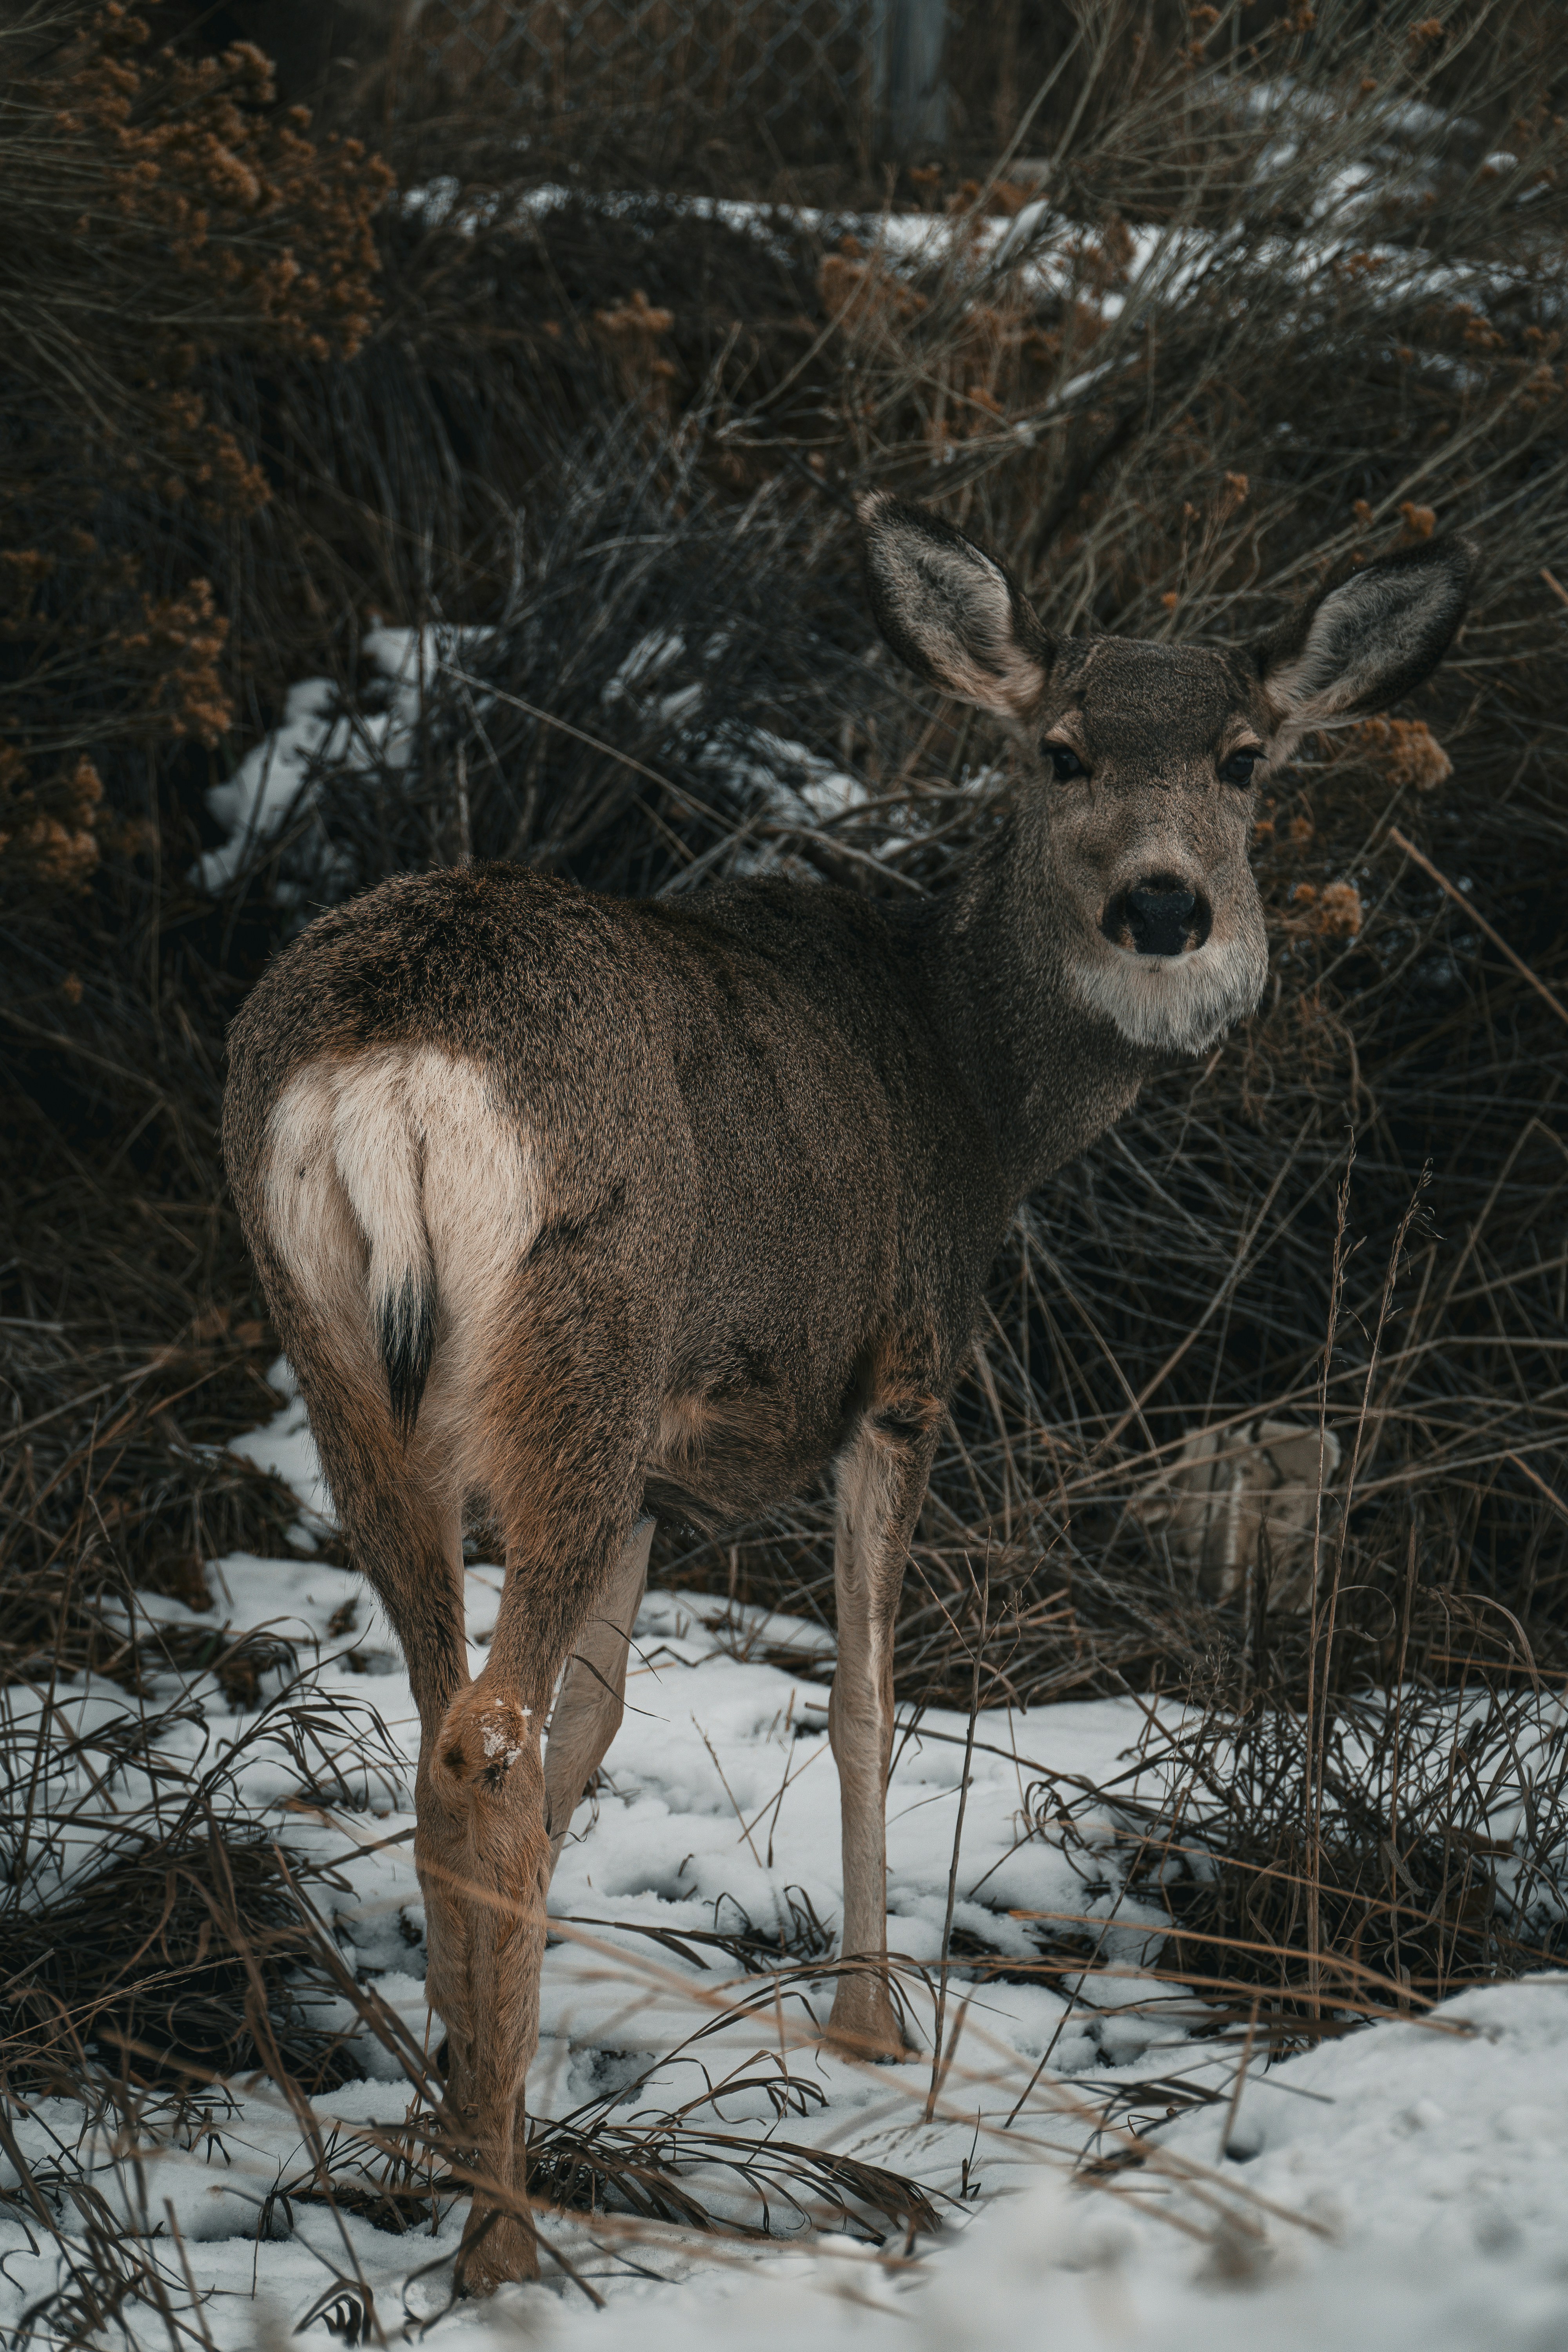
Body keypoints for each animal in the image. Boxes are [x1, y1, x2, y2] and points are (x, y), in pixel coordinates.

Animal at [223, 494, 1472, 2289]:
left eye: (1243, 757)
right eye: (1059, 750)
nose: (1167, 910)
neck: (970, 1088)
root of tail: (385, 1063)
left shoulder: (664, 1474)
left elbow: (601, 1722)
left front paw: (487, 2051)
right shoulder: (902, 1362)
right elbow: (869, 1703)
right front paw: (873, 2032)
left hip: (350, 1360)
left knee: (453, 1723)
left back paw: (458, 2145)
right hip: (586, 1332)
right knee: (482, 1746)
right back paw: (506, 2241)